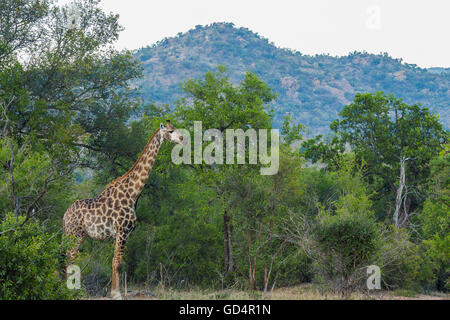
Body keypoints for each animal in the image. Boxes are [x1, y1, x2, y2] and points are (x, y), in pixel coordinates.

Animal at [62, 120, 184, 300]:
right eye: (170, 131)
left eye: (175, 129)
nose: (182, 138)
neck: (133, 193)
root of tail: (64, 216)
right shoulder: (122, 231)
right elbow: (117, 263)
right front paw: (116, 294)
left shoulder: (123, 233)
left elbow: (116, 262)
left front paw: (115, 292)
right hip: (74, 234)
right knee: (69, 257)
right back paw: (68, 290)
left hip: (79, 235)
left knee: (68, 257)